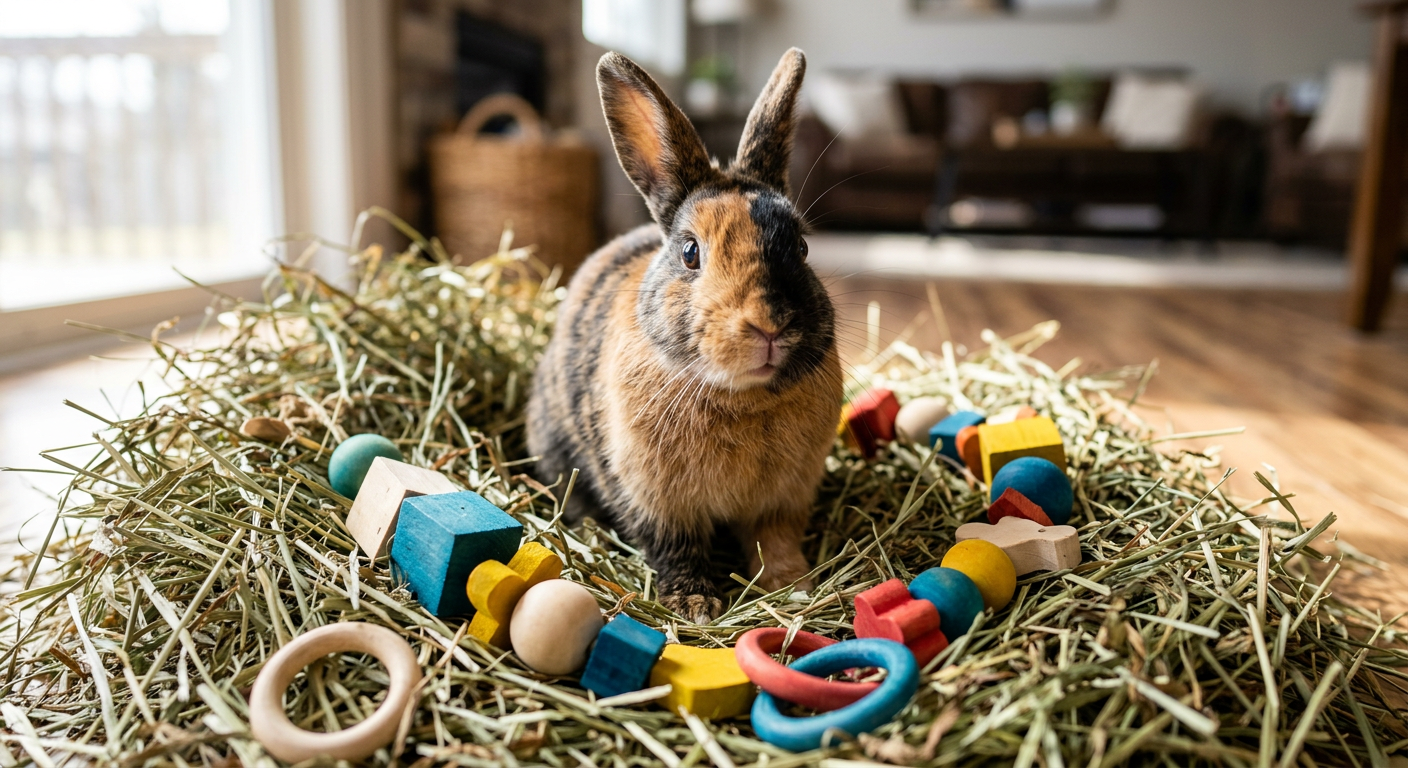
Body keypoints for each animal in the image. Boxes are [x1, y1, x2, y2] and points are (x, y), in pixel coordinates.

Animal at [526, 47, 841, 624]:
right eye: (691, 252)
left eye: (803, 248)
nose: (767, 325)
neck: (743, 398)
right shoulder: (657, 503)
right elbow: (676, 549)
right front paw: (695, 605)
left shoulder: (782, 504)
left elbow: (775, 545)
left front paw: (795, 587)